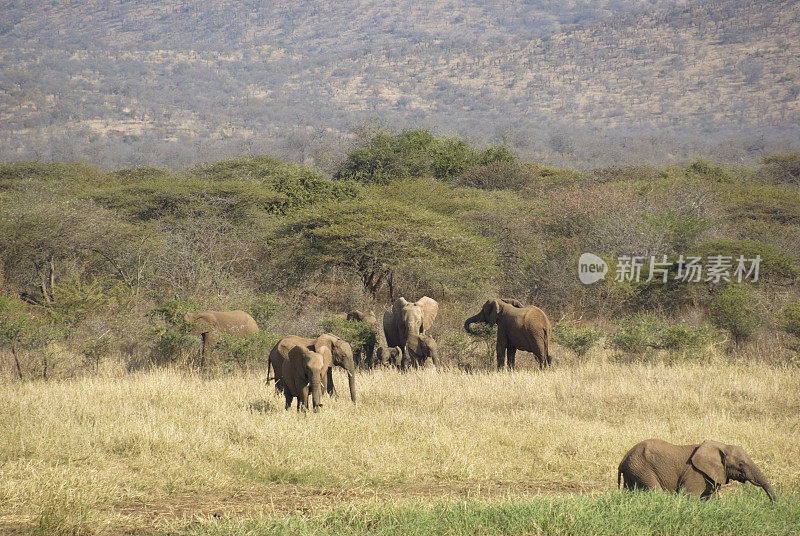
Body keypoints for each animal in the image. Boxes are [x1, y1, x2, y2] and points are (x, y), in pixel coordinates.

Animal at [620, 440, 776, 502]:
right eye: (741, 464)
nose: (773, 504)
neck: (722, 446)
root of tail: (623, 460)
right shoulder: (696, 474)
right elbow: (689, 496)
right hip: (642, 469)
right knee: (655, 491)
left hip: (634, 470)